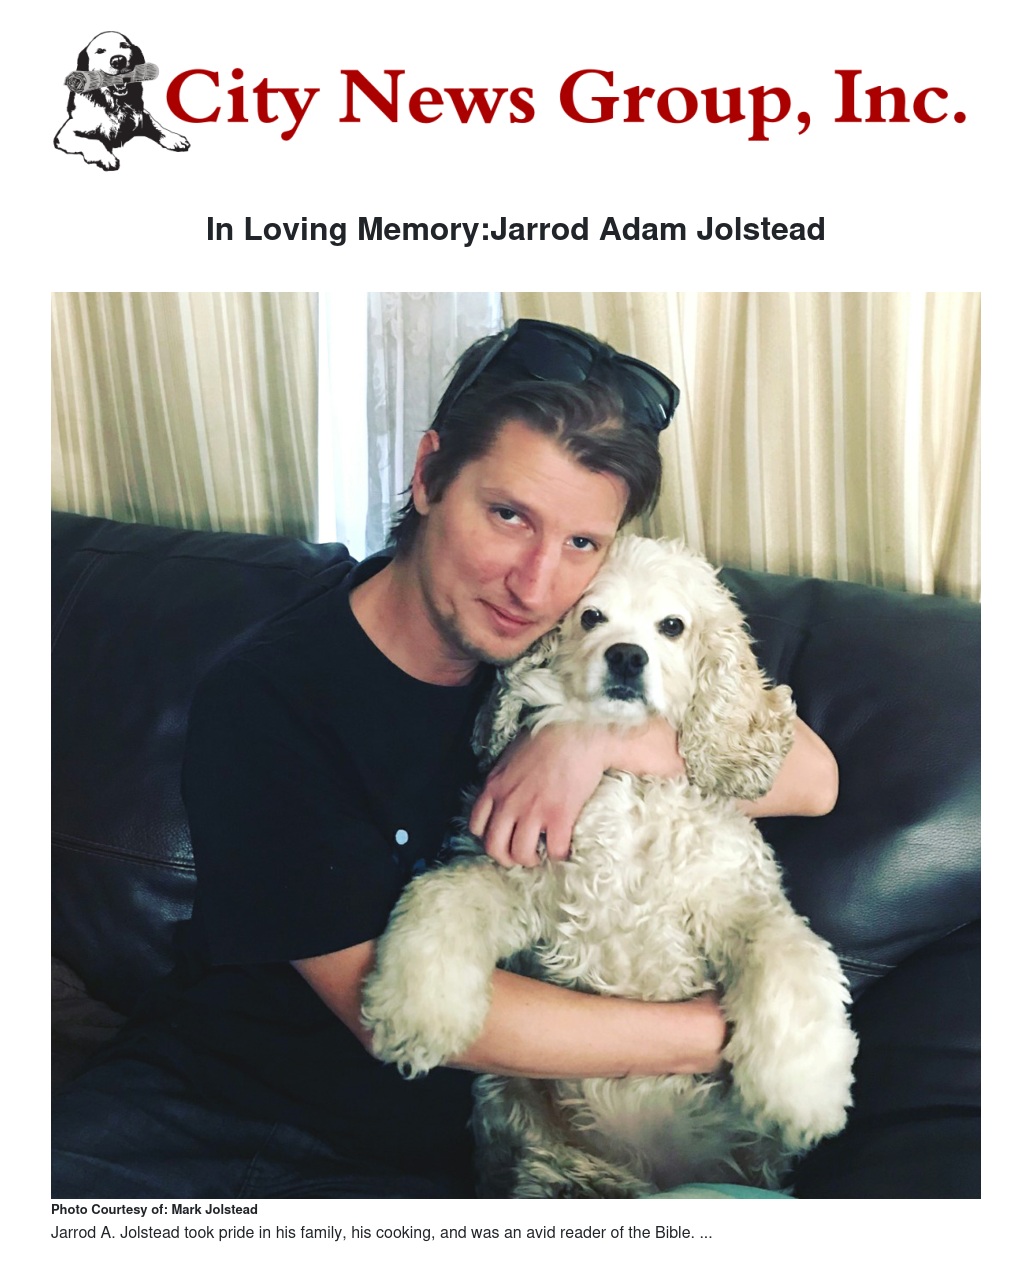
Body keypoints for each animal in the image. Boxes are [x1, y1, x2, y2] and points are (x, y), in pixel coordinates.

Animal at [55, 32, 189, 171]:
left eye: (124, 46)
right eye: (100, 51)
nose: (118, 60)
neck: (115, 103)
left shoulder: (141, 114)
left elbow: (156, 125)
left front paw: (174, 138)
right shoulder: (65, 134)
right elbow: (94, 141)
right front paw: (107, 158)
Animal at [362, 535, 857, 1197]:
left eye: (672, 626)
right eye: (591, 616)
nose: (626, 656)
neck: (627, 783)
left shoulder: (734, 898)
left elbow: (791, 957)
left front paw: (804, 1092)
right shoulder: (514, 873)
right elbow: (441, 895)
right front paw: (414, 1014)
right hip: (522, 1122)